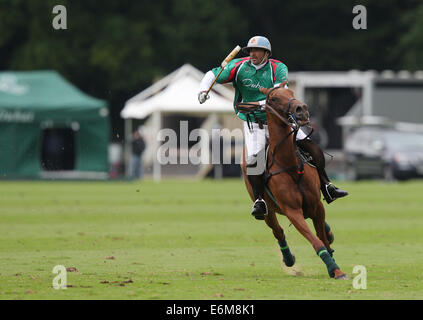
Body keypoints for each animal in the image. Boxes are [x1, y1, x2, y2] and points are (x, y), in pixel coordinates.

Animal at [240, 82, 350, 280]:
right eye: (273, 98)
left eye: (290, 91)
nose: (302, 110)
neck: (289, 164)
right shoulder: (292, 211)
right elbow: (316, 242)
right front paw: (335, 269)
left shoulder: (316, 205)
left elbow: (322, 237)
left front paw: (334, 266)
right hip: (267, 210)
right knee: (277, 231)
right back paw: (288, 258)